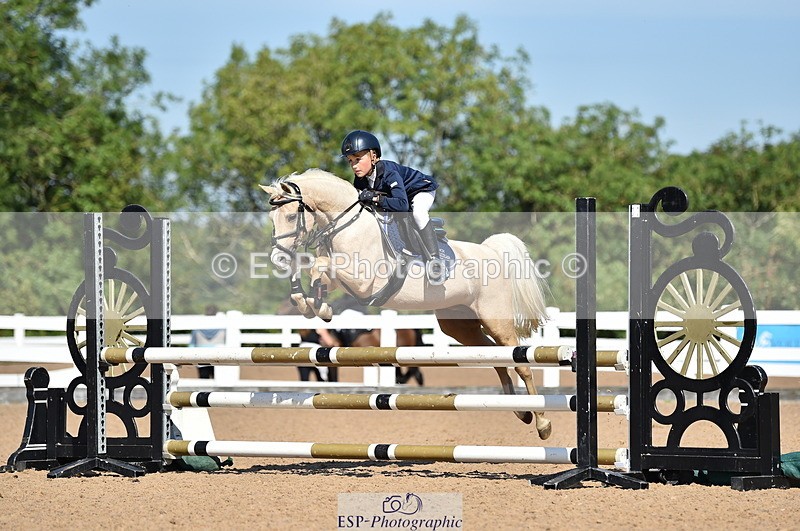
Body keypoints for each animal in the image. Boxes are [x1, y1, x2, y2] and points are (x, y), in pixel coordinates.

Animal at [260, 168, 552, 439]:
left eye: (290, 216)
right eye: (272, 219)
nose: (278, 259)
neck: (347, 226)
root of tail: (490, 251)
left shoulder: (365, 280)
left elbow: (319, 264)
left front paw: (315, 304)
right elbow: (317, 273)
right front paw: (310, 303)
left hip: (495, 319)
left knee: (521, 363)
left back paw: (542, 422)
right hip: (459, 325)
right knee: (496, 359)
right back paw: (521, 412)